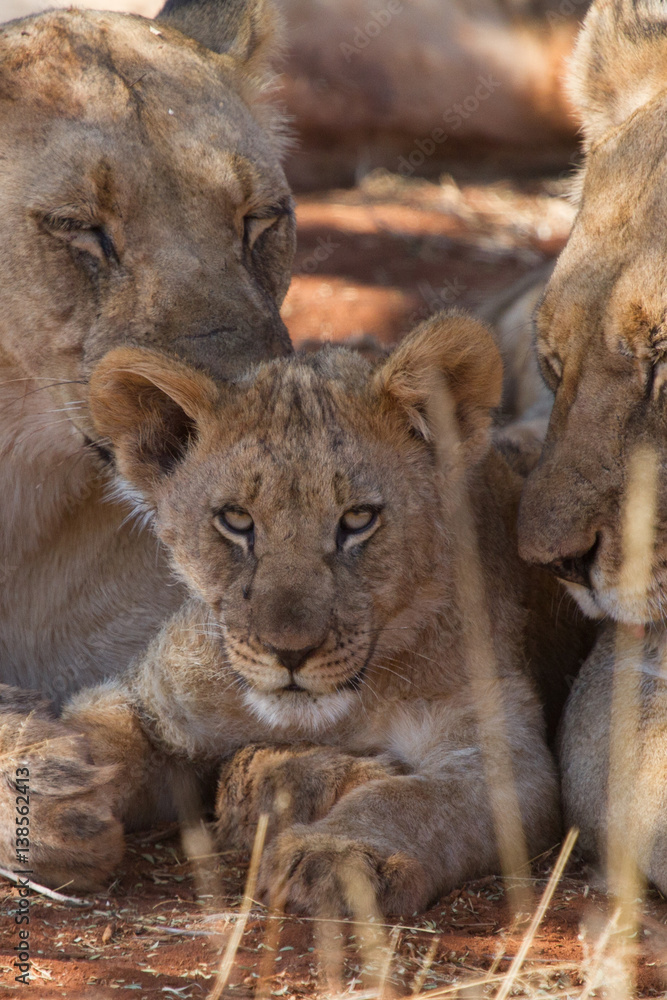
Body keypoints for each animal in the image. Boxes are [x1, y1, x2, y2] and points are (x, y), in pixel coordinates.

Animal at [0, 312, 591, 910]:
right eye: (236, 519)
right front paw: (44, 797)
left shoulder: (503, 753)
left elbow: (413, 800)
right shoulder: (159, 703)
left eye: (358, 519)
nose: (290, 652)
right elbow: (102, 729)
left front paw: (340, 856)